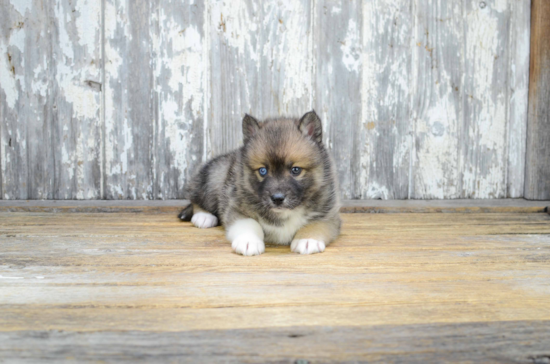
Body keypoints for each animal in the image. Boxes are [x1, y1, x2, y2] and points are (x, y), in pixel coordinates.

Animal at [180, 109, 340, 255]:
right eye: (262, 171)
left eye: (295, 170)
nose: (277, 199)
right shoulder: (236, 208)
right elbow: (249, 223)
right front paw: (248, 241)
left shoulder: (328, 214)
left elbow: (316, 224)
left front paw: (307, 240)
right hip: (215, 176)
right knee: (197, 196)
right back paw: (203, 216)